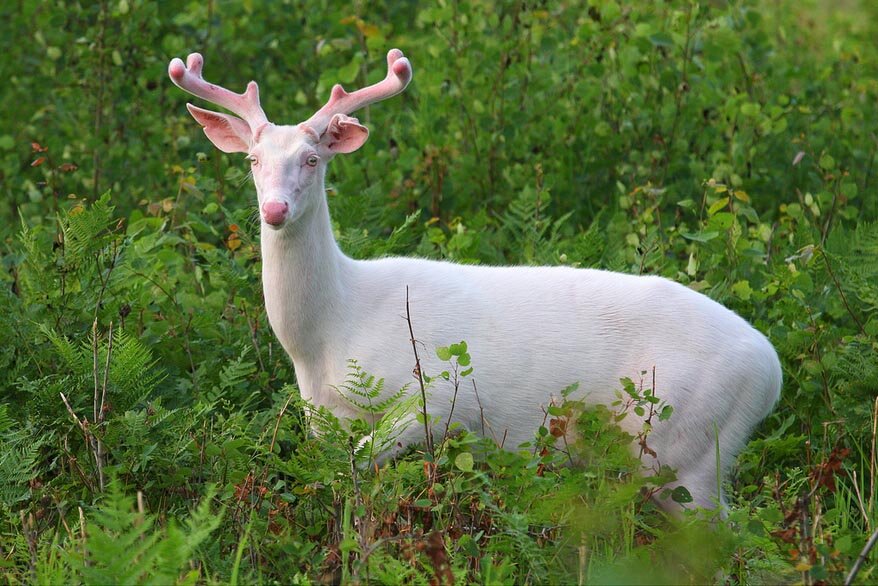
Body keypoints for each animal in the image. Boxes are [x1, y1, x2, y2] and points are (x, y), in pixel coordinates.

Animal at [170, 49, 784, 506]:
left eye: (313, 158)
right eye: (252, 159)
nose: (274, 209)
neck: (328, 333)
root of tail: (771, 372)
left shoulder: (435, 398)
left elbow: (357, 469)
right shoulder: (322, 419)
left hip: (690, 448)